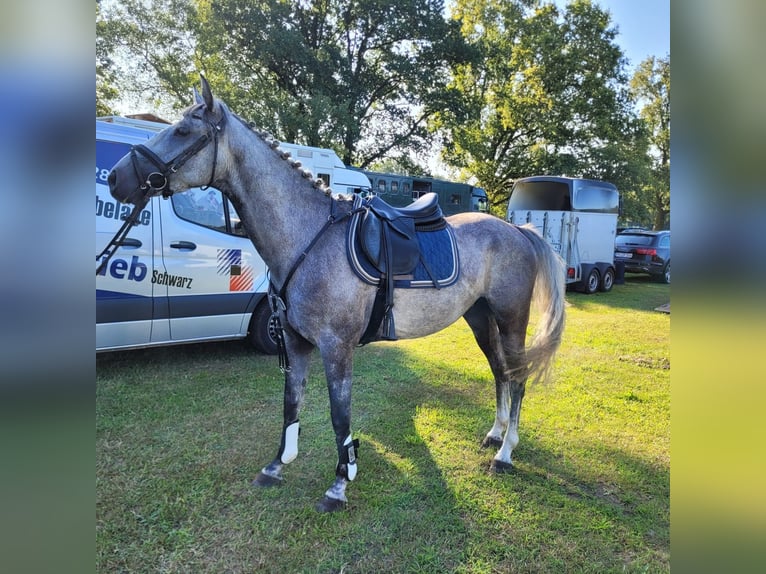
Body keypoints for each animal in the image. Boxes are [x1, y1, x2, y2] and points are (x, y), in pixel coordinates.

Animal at [108, 76, 568, 512]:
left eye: (183, 131)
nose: (115, 177)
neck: (308, 237)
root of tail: (518, 231)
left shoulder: (336, 347)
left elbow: (338, 417)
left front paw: (339, 485)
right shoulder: (295, 343)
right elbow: (291, 405)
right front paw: (277, 465)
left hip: (511, 319)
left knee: (518, 378)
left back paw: (506, 454)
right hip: (480, 318)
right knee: (500, 372)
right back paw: (495, 434)